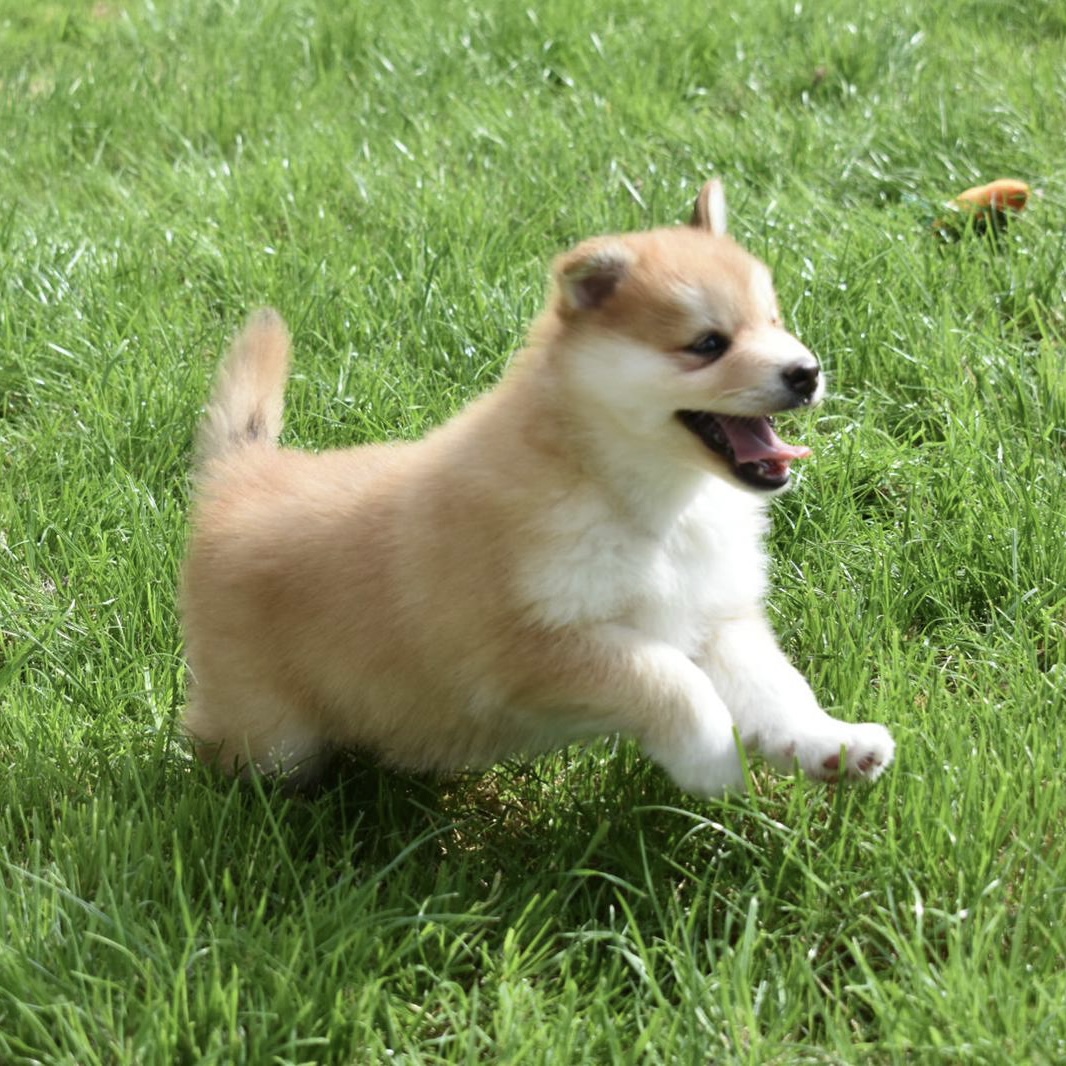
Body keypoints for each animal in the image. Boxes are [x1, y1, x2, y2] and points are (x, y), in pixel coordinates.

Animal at [181, 179, 891, 793]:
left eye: (774, 320)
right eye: (708, 344)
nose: (806, 372)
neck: (644, 499)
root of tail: (246, 474)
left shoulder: (716, 614)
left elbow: (778, 686)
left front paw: (832, 743)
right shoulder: (530, 649)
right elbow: (669, 679)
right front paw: (713, 760)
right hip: (273, 736)